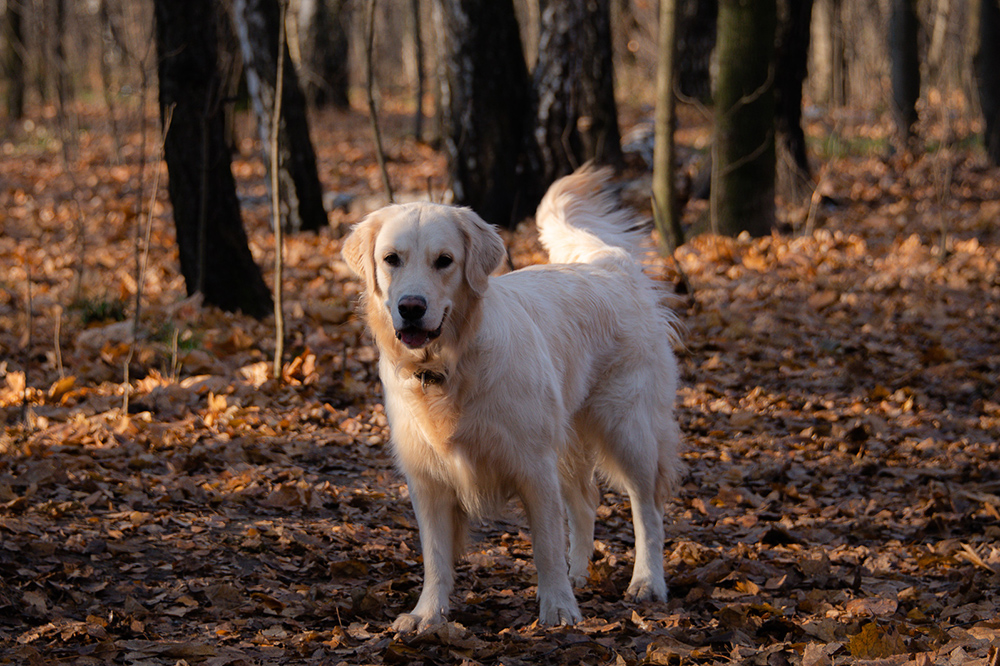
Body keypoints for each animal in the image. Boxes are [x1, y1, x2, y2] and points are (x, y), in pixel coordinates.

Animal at [342, 165, 680, 628]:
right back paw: (579, 574)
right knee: (585, 502)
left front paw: (557, 608)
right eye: (391, 259)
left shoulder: (533, 464)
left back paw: (647, 582)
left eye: (444, 261)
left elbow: (546, 545)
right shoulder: (427, 477)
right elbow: (436, 556)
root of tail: (611, 263)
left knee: (648, 507)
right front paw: (428, 614)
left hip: (627, 427)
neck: (448, 367)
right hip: (568, 437)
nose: (411, 307)